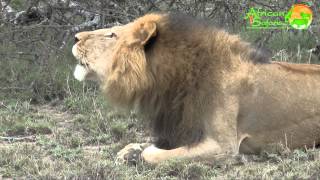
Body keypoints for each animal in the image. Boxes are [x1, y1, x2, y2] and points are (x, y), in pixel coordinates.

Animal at [72, 13, 320, 165]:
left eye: (112, 35)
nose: (75, 36)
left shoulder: (223, 146)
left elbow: (152, 154)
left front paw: (141, 153)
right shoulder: (180, 128)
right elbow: (135, 144)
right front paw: (130, 151)